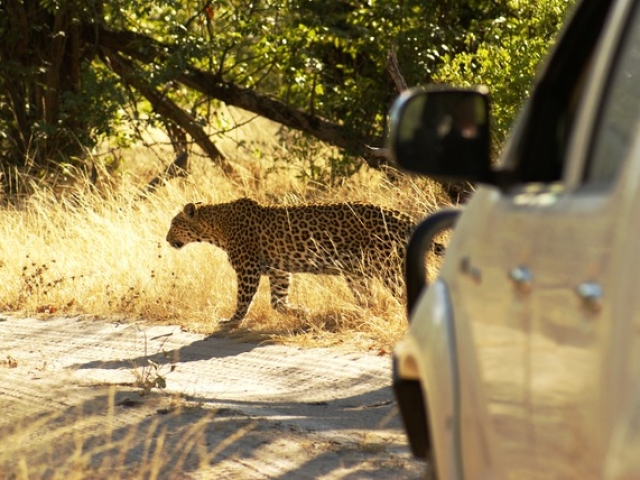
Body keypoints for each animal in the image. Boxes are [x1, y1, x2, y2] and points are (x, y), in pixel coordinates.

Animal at [166, 197, 420, 324]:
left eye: (174, 224)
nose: (167, 239)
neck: (216, 227)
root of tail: (402, 216)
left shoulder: (248, 269)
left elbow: (243, 299)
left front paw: (232, 321)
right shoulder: (278, 270)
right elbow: (277, 301)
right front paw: (301, 312)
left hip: (386, 267)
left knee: (400, 292)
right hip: (357, 271)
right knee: (369, 298)